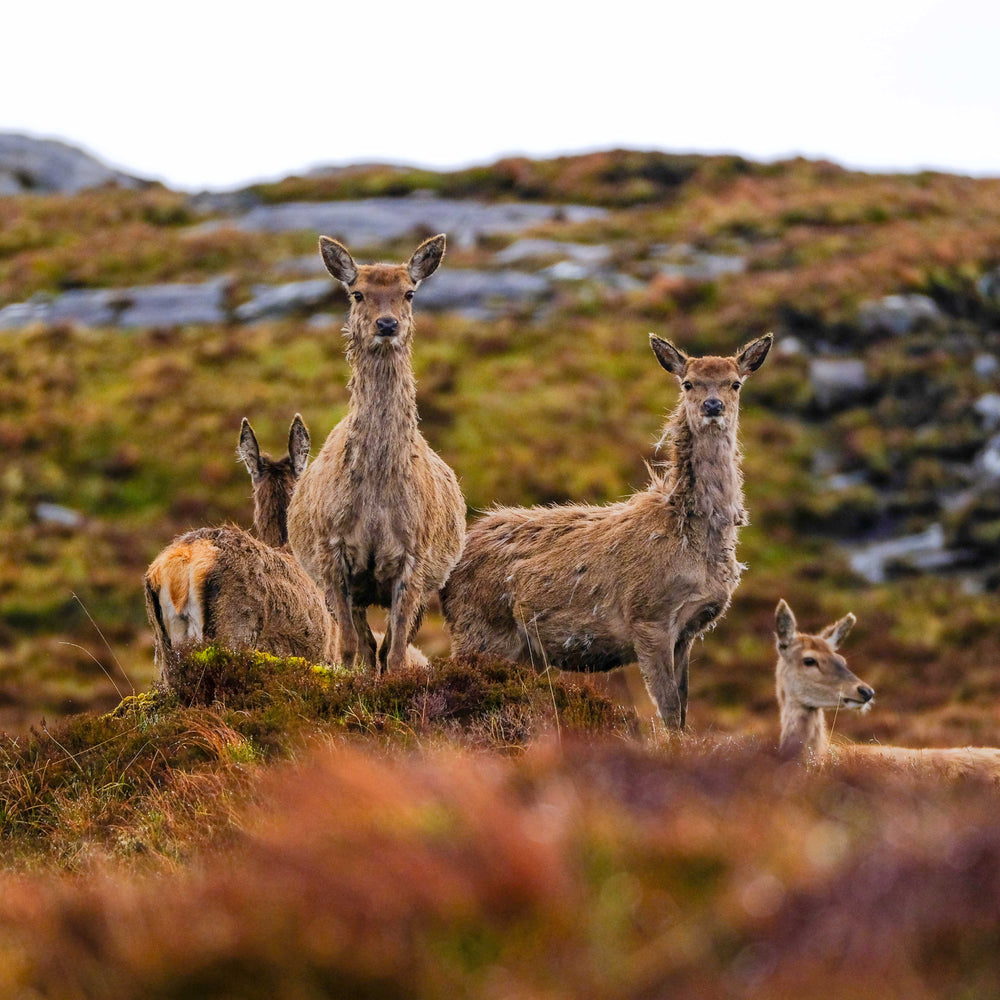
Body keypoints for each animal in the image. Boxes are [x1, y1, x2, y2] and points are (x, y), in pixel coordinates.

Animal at [286, 232, 464, 680]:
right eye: (357, 293)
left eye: (409, 292)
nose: (387, 324)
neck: (376, 501)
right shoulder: (331, 554)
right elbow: (350, 647)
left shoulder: (415, 558)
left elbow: (396, 653)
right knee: (366, 645)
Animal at [440, 330, 772, 728]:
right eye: (688, 382)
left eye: (734, 383)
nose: (712, 405)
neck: (690, 534)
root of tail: (449, 572)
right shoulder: (648, 616)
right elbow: (668, 711)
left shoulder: (688, 632)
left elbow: (682, 710)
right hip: (481, 630)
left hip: (520, 652)